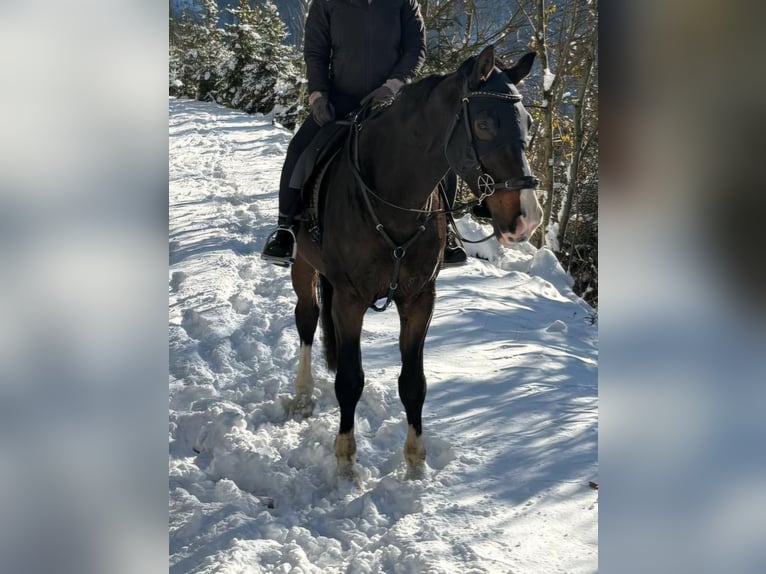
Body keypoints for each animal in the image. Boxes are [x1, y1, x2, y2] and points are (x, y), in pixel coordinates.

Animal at [284, 44, 544, 476]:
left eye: (527, 122)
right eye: (485, 124)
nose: (527, 218)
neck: (394, 200)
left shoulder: (420, 300)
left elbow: (413, 383)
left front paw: (415, 464)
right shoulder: (350, 301)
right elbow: (350, 380)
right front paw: (345, 461)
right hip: (303, 265)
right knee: (306, 317)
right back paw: (302, 395)